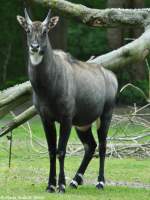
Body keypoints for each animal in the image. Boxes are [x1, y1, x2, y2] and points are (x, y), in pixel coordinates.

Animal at [17, 9, 118, 192]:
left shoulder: (66, 118)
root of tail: (112, 76)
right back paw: (75, 181)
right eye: (28, 30)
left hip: (105, 116)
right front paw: (51, 185)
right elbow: (51, 150)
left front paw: (61, 185)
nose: (34, 47)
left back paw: (100, 182)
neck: (48, 86)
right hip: (82, 124)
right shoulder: (46, 119)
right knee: (90, 146)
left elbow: (61, 151)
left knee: (102, 145)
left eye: (45, 31)